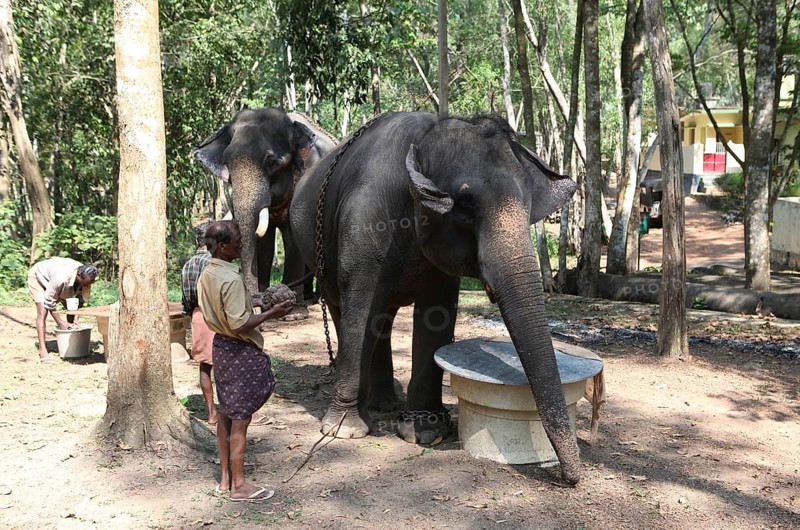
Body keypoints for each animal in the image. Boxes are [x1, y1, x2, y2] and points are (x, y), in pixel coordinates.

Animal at [193, 108, 337, 317]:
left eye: (271, 162)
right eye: (226, 162)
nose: (254, 302)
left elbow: (293, 239)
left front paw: (294, 314)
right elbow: (264, 244)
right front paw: (264, 302)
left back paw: (314, 300)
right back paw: (310, 298)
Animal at [289, 112, 581, 484]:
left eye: (530, 206)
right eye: (465, 208)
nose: (570, 477)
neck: (425, 140)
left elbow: (436, 315)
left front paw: (426, 433)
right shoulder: (362, 224)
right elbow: (360, 307)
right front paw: (343, 431)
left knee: (382, 317)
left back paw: (386, 404)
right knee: (347, 311)